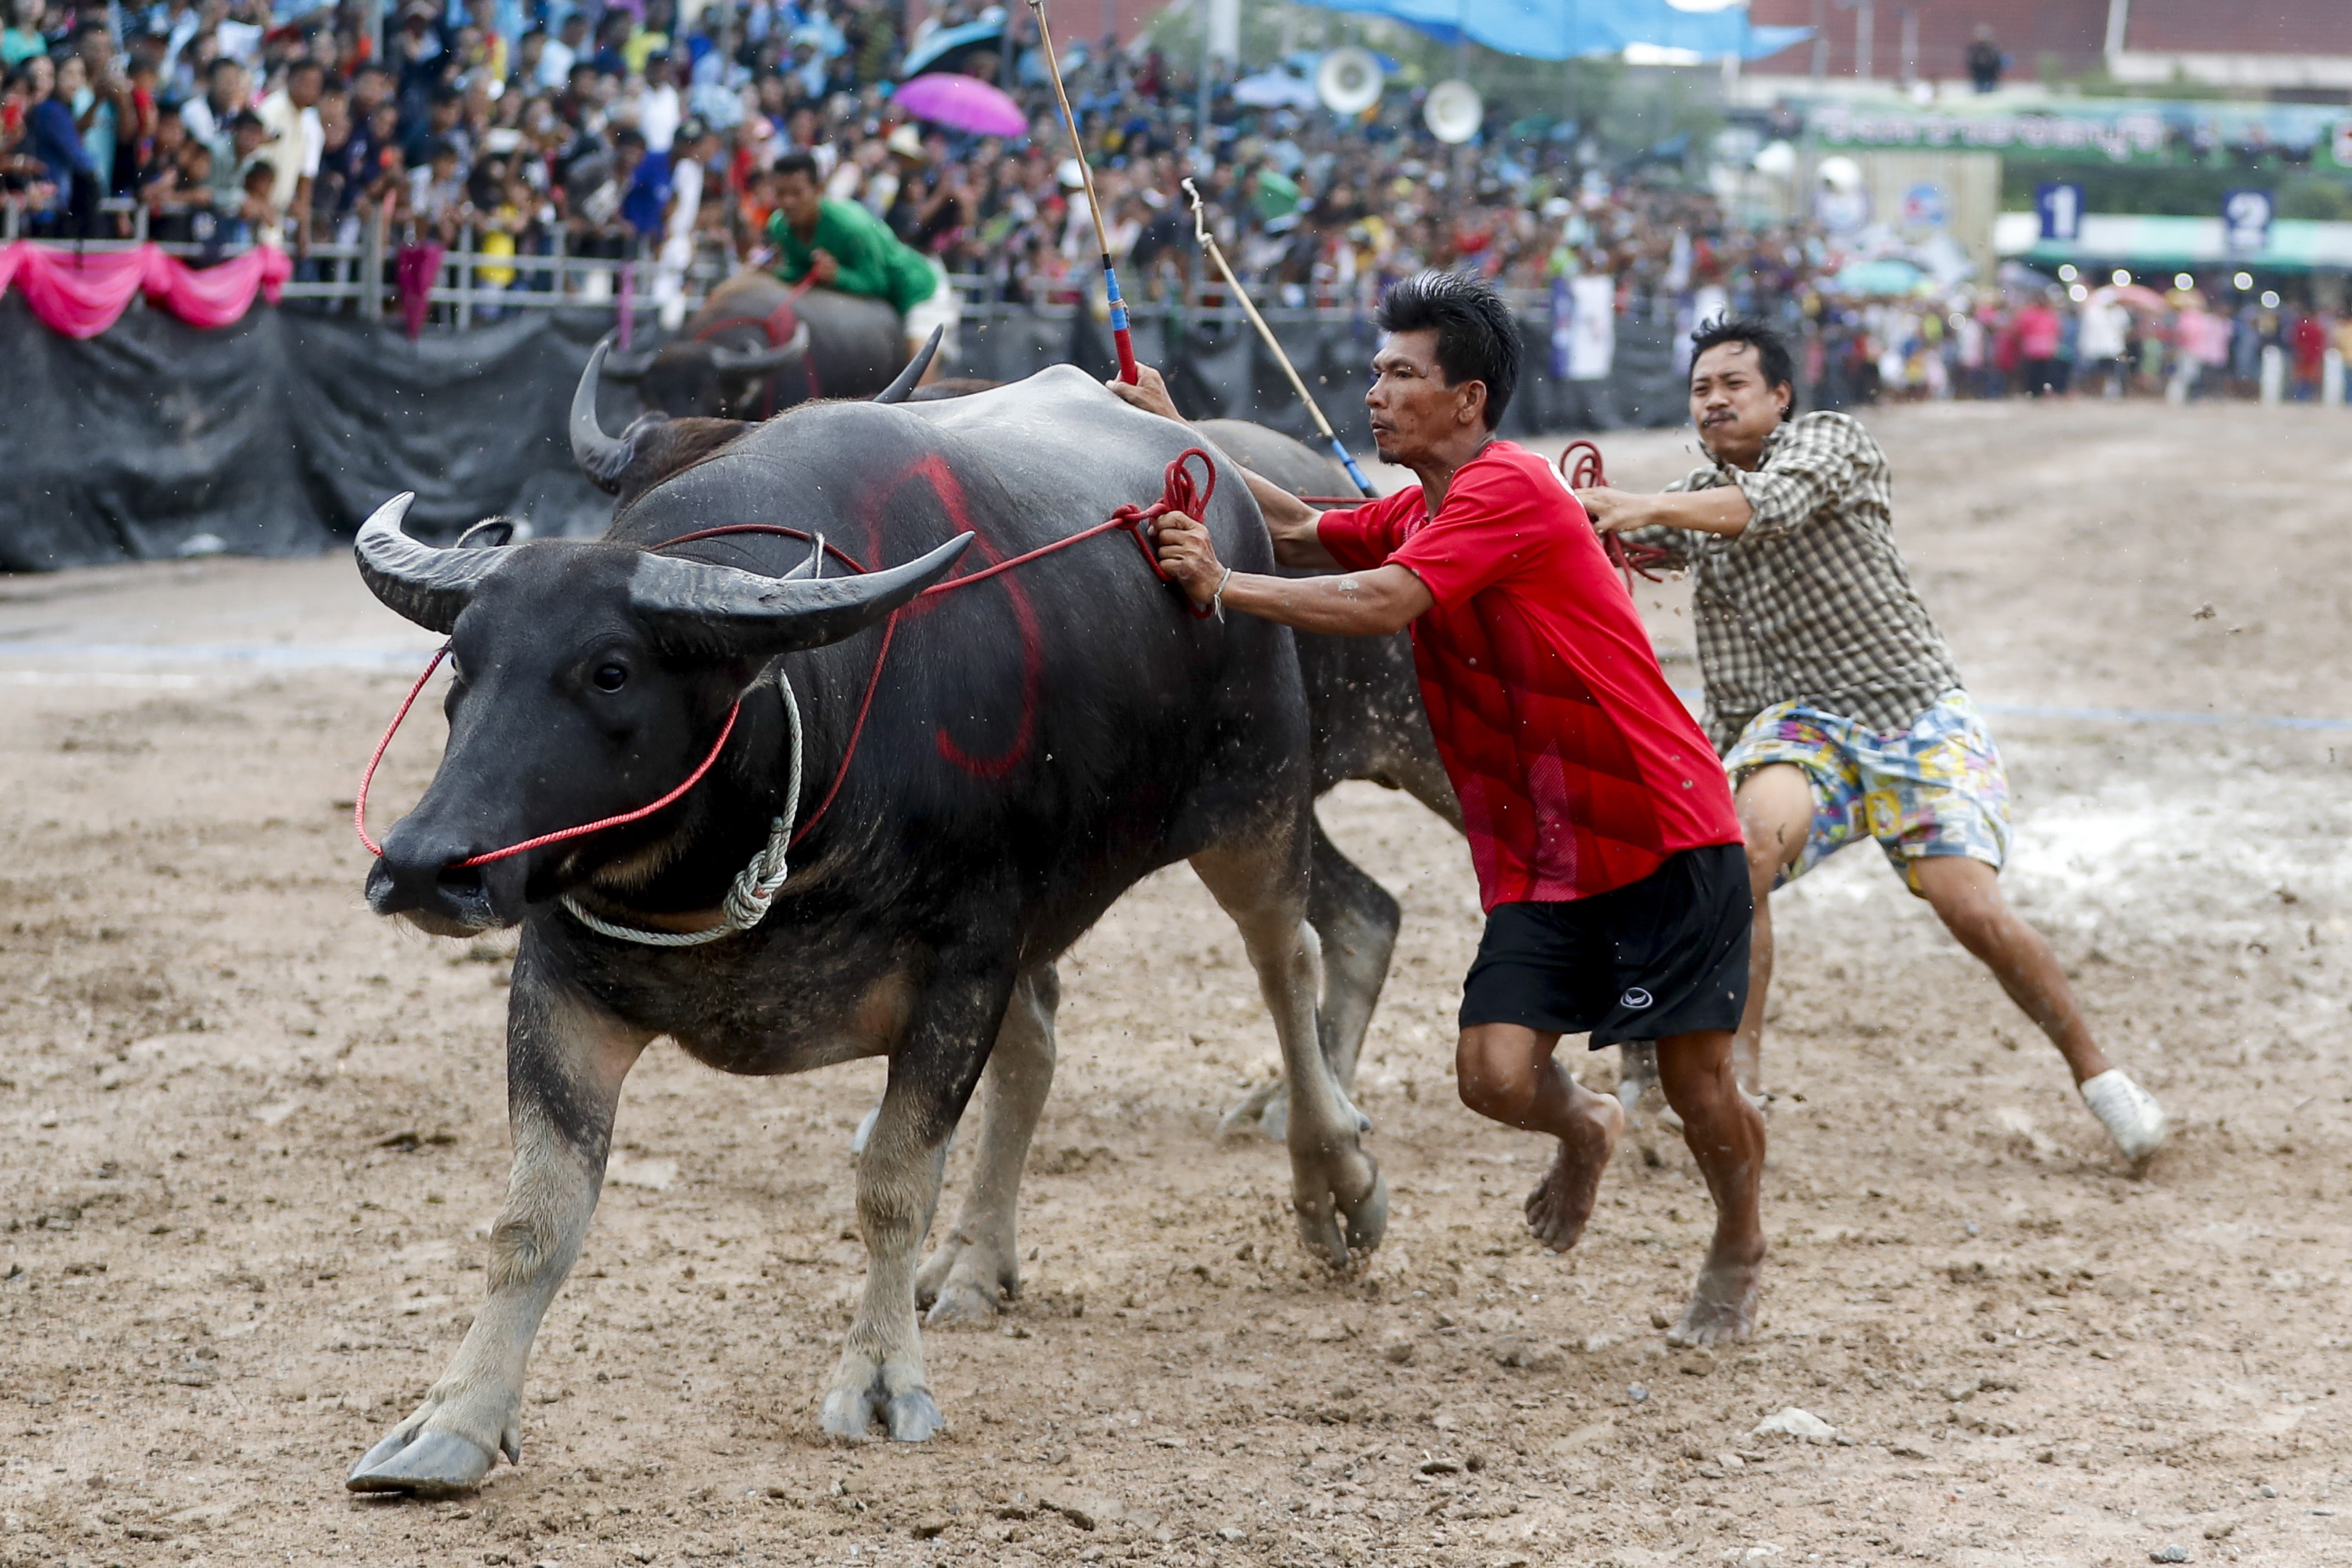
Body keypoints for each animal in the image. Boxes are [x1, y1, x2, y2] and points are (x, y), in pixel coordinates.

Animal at [340, 359, 1383, 1495]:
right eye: (460, 664)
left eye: (610, 669)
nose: (424, 863)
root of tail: (1213, 484)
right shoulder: (563, 989)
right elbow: (535, 1214)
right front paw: (454, 1419)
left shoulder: (958, 973)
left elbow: (892, 1183)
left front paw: (882, 1380)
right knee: (1040, 1050)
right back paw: (976, 1260)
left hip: (1256, 803)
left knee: (1288, 960)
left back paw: (1333, 1176)